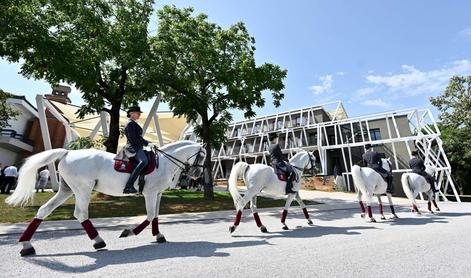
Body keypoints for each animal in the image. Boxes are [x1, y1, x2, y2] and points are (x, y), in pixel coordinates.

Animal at [5, 141, 205, 256]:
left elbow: (155, 216)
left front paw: (159, 235)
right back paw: (98, 241)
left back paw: (27, 245)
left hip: (66, 190)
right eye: (202, 155)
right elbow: (149, 216)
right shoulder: (150, 193)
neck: (163, 162)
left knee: (45, 210)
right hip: (83, 189)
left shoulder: (158, 193)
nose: (197, 175)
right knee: (81, 214)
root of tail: (68, 153)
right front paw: (128, 232)